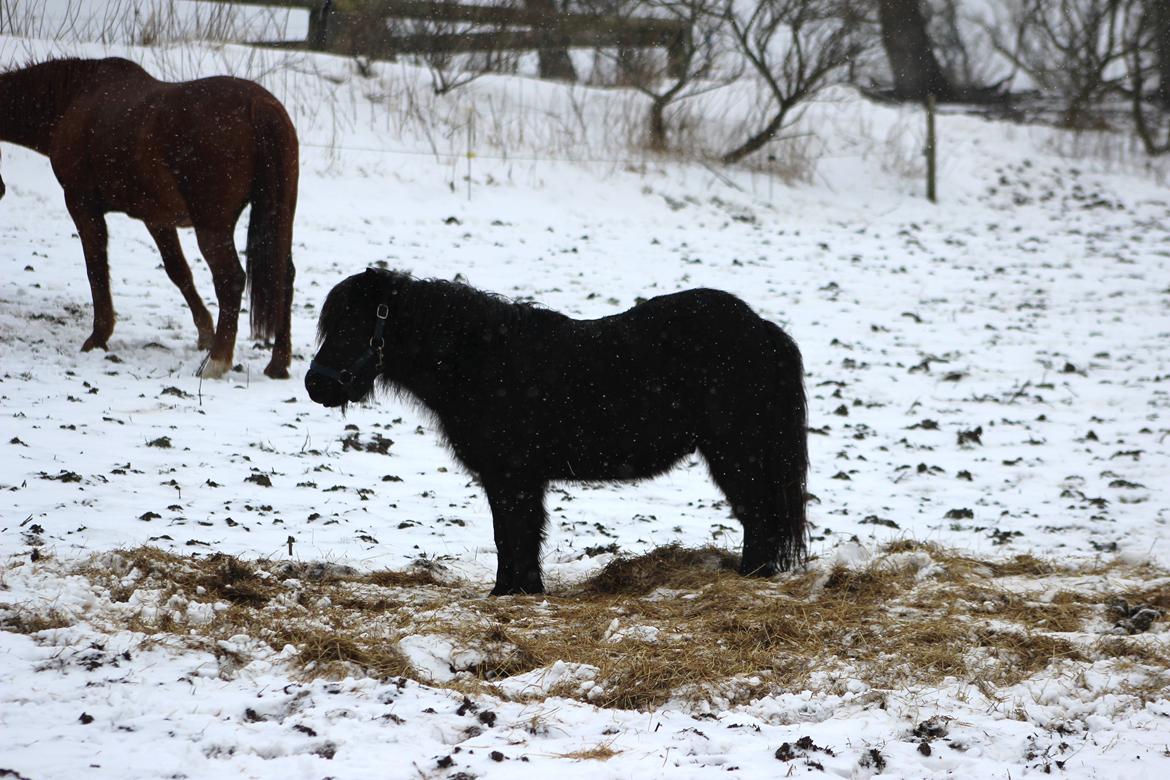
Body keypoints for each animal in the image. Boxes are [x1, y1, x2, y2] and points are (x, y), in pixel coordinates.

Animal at [0, 57, 297, 378]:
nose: (1, 189)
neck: (75, 97)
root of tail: (258, 105)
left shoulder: (82, 205)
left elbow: (96, 267)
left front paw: (98, 337)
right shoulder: (157, 219)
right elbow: (178, 271)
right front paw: (204, 333)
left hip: (213, 228)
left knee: (230, 280)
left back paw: (216, 362)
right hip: (279, 219)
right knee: (283, 276)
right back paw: (277, 364)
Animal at [306, 270, 809, 598]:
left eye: (354, 324)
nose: (317, 384)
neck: (479, 360)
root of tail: (761, 328)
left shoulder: (511, 475)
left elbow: (514, 532)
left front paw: (513, 593)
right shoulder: (514, 478)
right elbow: (513, 534)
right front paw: (518, 590)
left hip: (735, 452)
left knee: (759, 514)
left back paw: (750, 580)